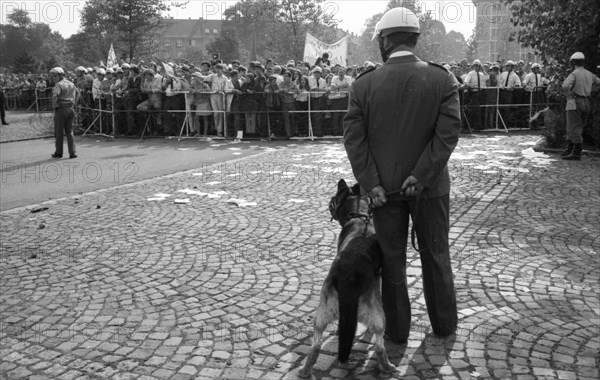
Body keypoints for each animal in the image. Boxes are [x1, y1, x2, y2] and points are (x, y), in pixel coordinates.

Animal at [298, 180, 394, 378]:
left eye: (335, 198)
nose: (329, 201)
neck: (360, 216)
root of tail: (350, 278)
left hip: (322, 313)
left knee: (316, 345)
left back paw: (304, 370)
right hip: (378, 317)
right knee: (379, 346)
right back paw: (387, 367)